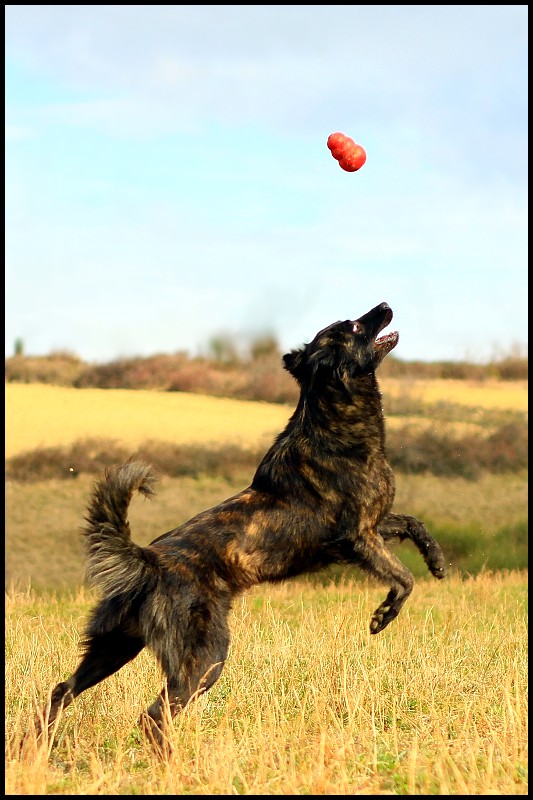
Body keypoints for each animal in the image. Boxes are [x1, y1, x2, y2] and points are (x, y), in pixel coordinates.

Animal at [28, 302, 444, 756]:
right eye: (352, 325)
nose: (385, 306)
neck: (333, 424)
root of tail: (147, 562)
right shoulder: (357, 537)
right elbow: (403, 579)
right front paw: (384, 614)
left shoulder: (374, 525)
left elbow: (414, 524)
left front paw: (437, 561)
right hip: (205, 658)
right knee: (153, 715)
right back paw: (174, 762)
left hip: (114, 647)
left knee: (62, 689)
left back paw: (37, 746)